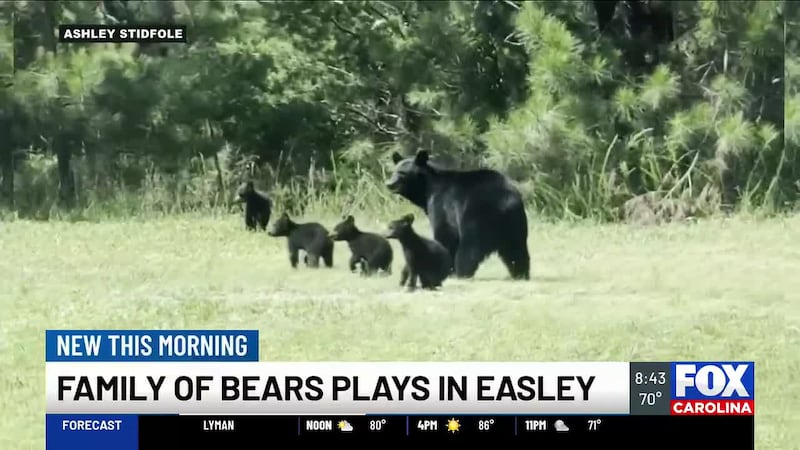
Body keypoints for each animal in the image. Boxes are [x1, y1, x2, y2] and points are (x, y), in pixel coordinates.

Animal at [386, 150, 530, 280]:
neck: (427, 189)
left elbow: (445, 234)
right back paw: (521, 274)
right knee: (516, 250)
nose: (389, 184)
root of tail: (505, 200)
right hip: (515, 222)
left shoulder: (441, 204)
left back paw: (463, 272)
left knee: (469, 248)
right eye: (393, 171)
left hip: (476, 216)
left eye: (402, 173)